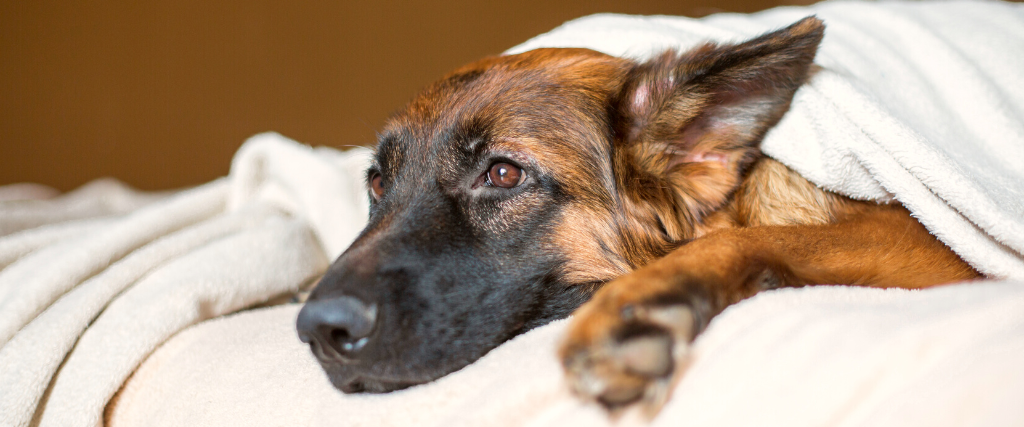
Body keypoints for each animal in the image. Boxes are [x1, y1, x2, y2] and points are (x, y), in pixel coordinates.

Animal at [294, 16, 974, 407]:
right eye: (377, 182)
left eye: (504, 174)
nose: (319, 331)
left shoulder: (925, 242)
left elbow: (744, 241)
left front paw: (639, 307)